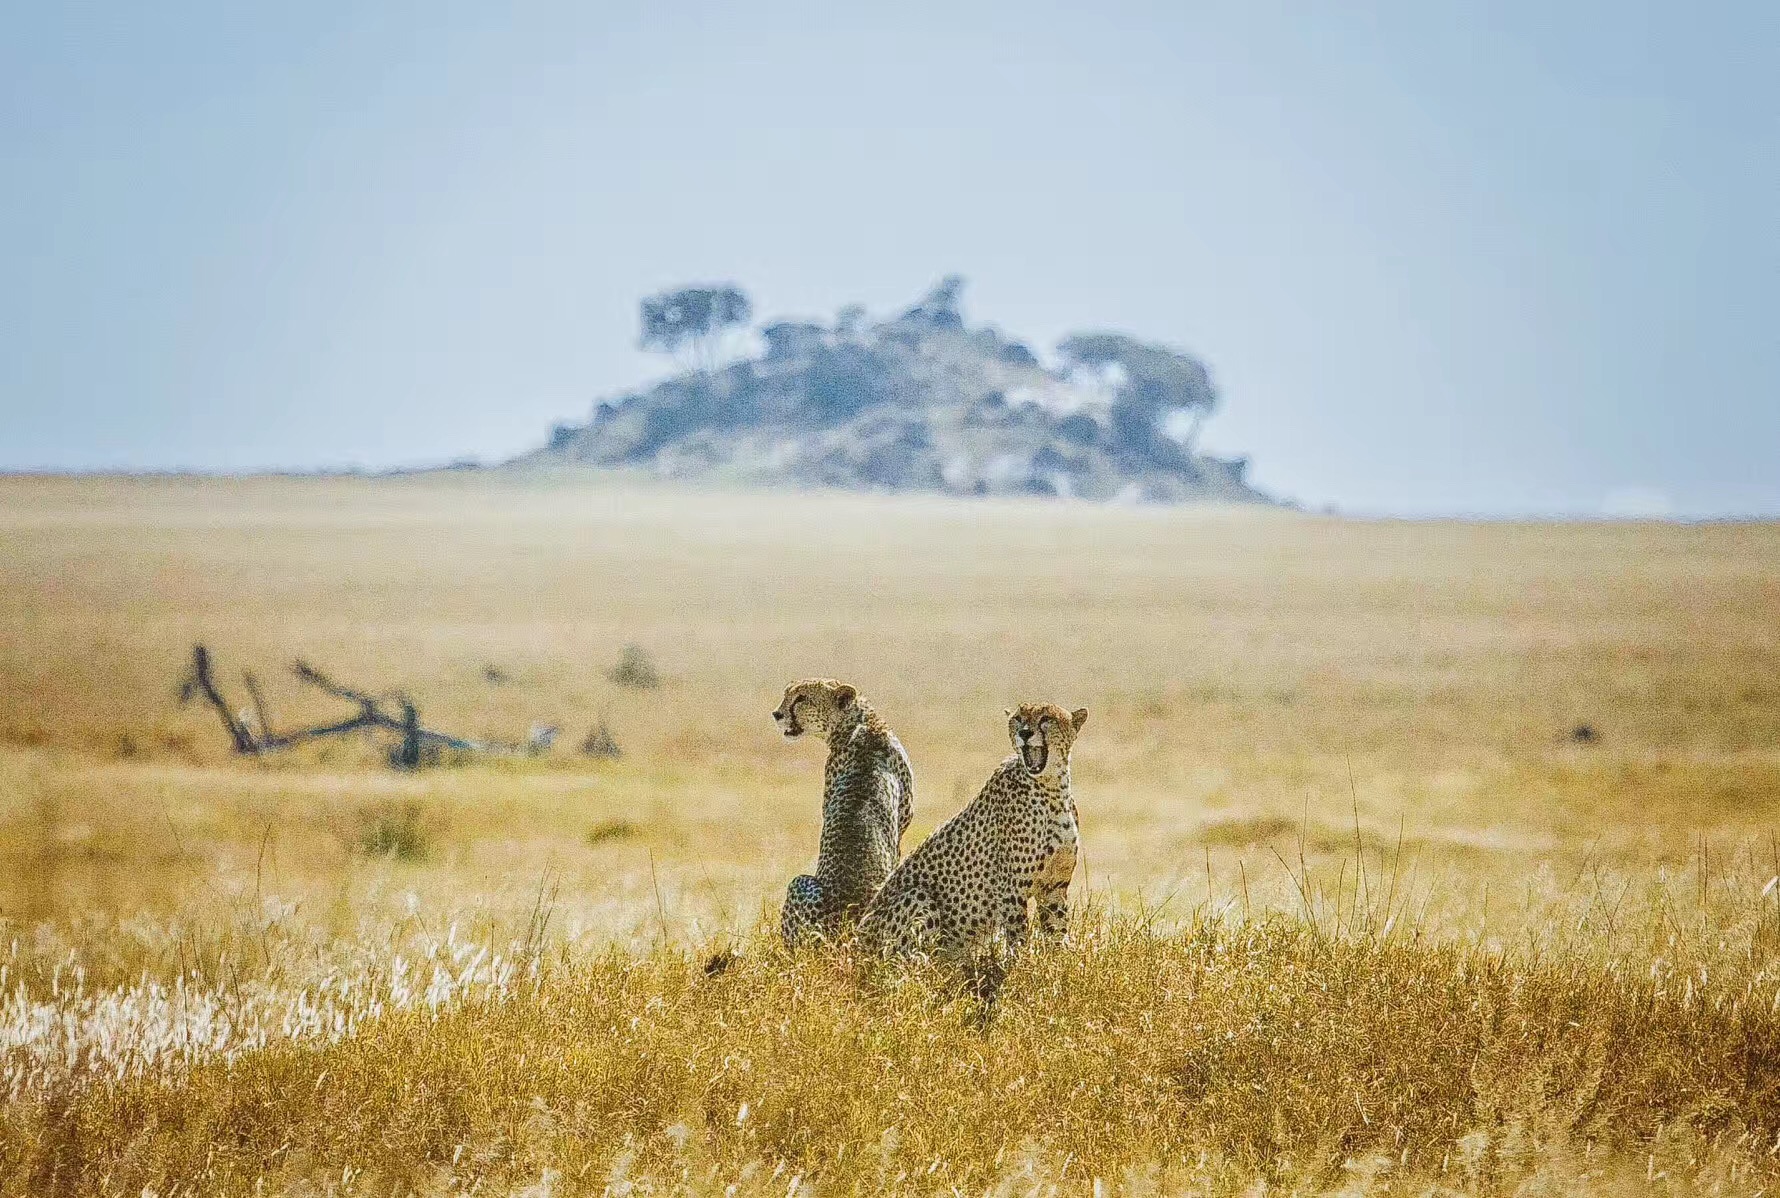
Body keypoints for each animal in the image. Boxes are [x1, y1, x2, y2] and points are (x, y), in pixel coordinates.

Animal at [857, 701, 1089, 961]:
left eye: (1046, 718)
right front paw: (1021, 966)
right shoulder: (1011, 889)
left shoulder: (1054, 886)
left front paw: (1058, 962)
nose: (1025, 733)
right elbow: (1018, 937)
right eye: (1018, 718)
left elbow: (1057, 932)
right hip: (917, 898)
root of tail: (853, 940)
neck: (1053, 789)